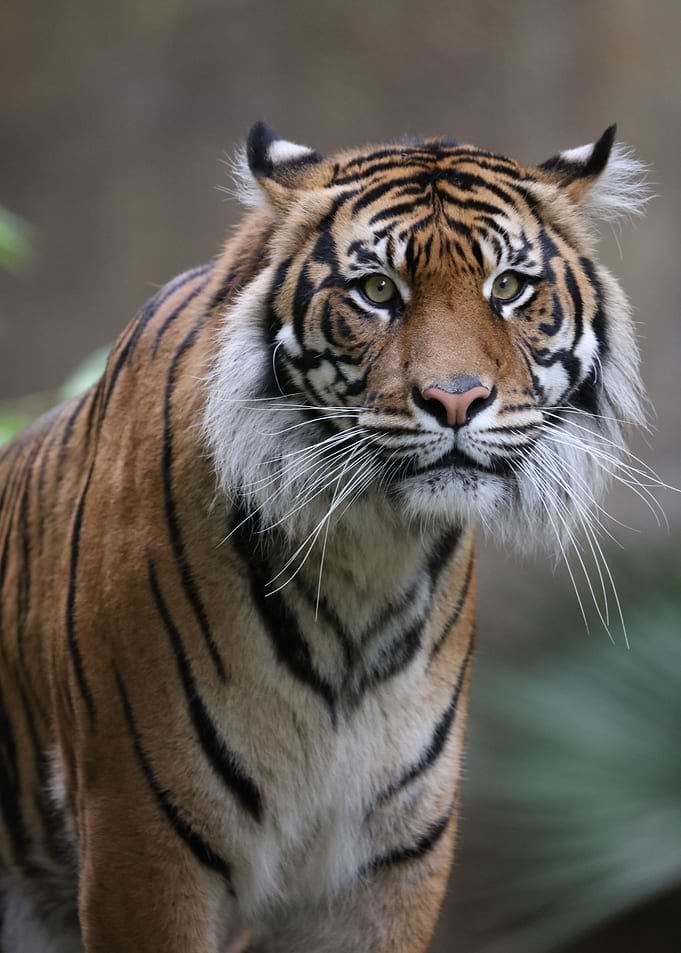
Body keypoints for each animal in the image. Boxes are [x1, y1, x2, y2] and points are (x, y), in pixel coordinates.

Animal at [0, 120, 648, 953]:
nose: (456, 399)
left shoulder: (391, 859)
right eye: (377, 291)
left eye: (507, 287)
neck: (368, 555)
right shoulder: (140, 841)